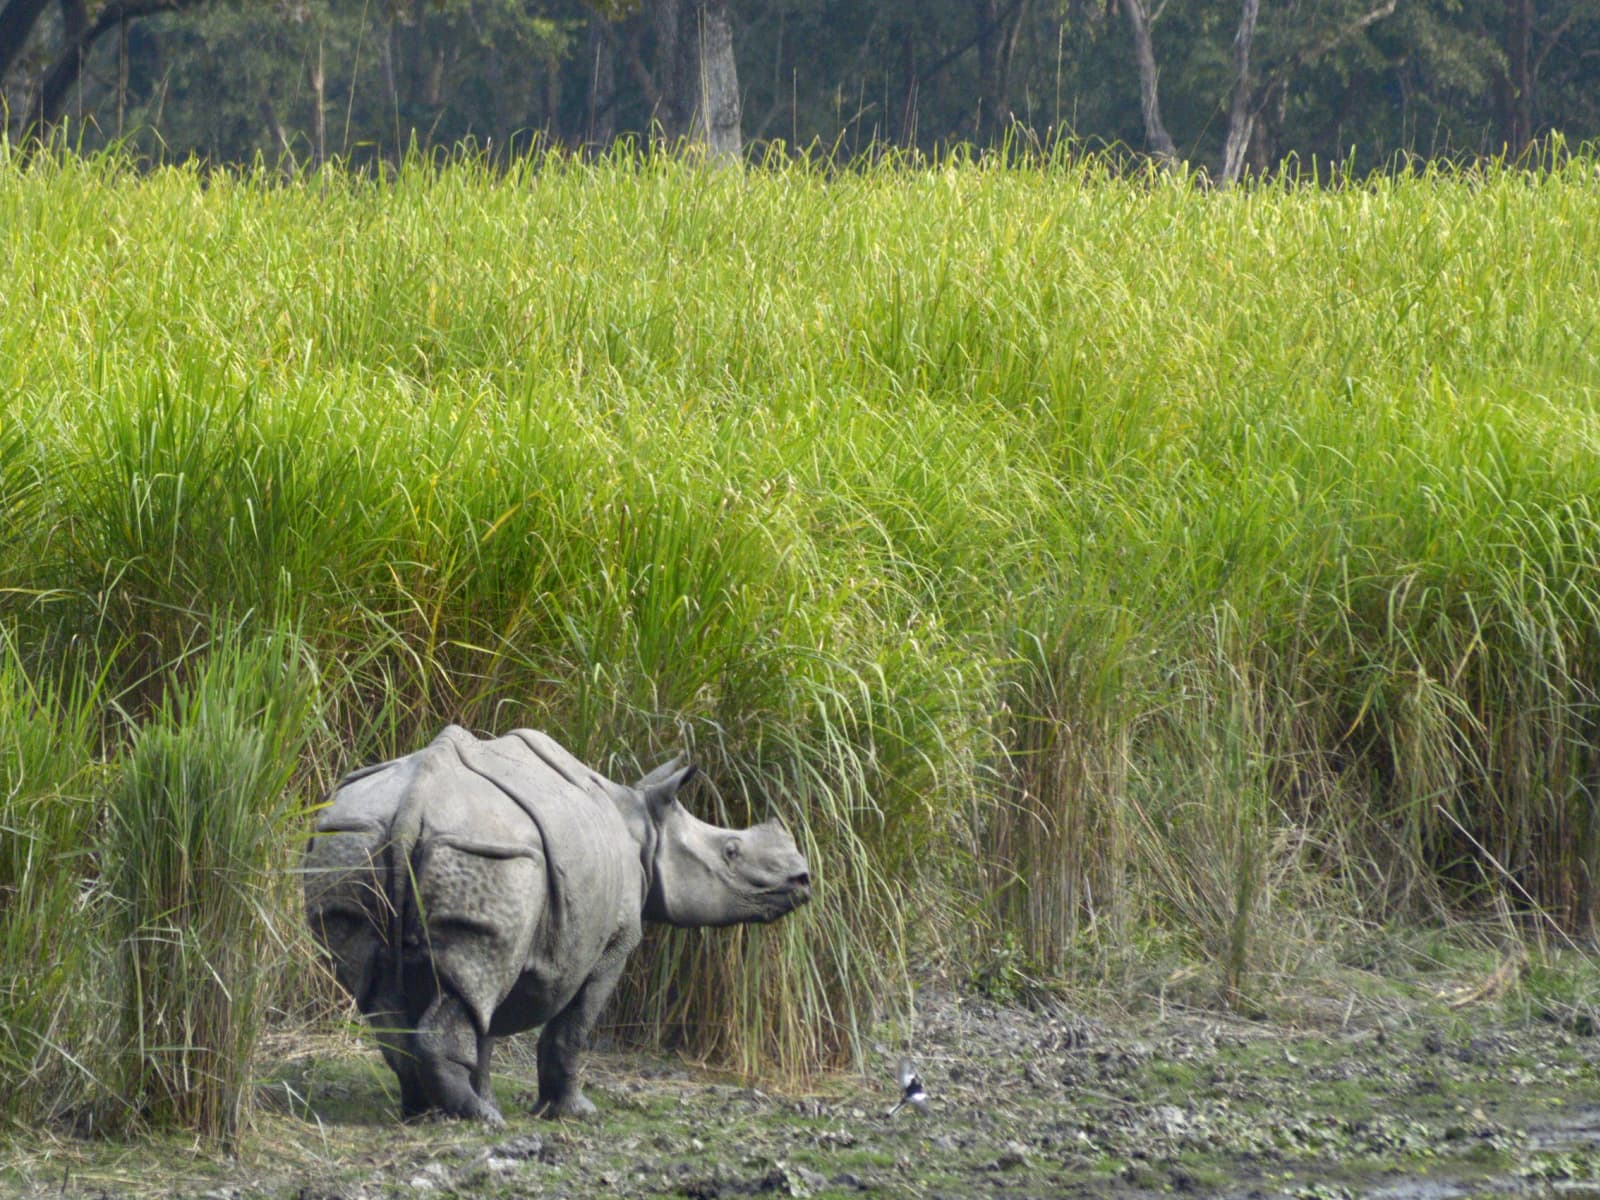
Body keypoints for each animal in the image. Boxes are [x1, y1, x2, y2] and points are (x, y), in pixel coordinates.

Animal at [303, 725, 812, 1124]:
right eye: (731, 852)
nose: (802, 878)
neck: (646, 828)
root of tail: (414, 802)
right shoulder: (614, 942)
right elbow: (571, 1028)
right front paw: (572, 1113)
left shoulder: (516, 929)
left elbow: (484, 1028)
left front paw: (491, 1097)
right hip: (490, 854)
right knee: (463, 986)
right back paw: (479, 1119)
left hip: (352, 839)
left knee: (391, 989)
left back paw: (427, 1112)